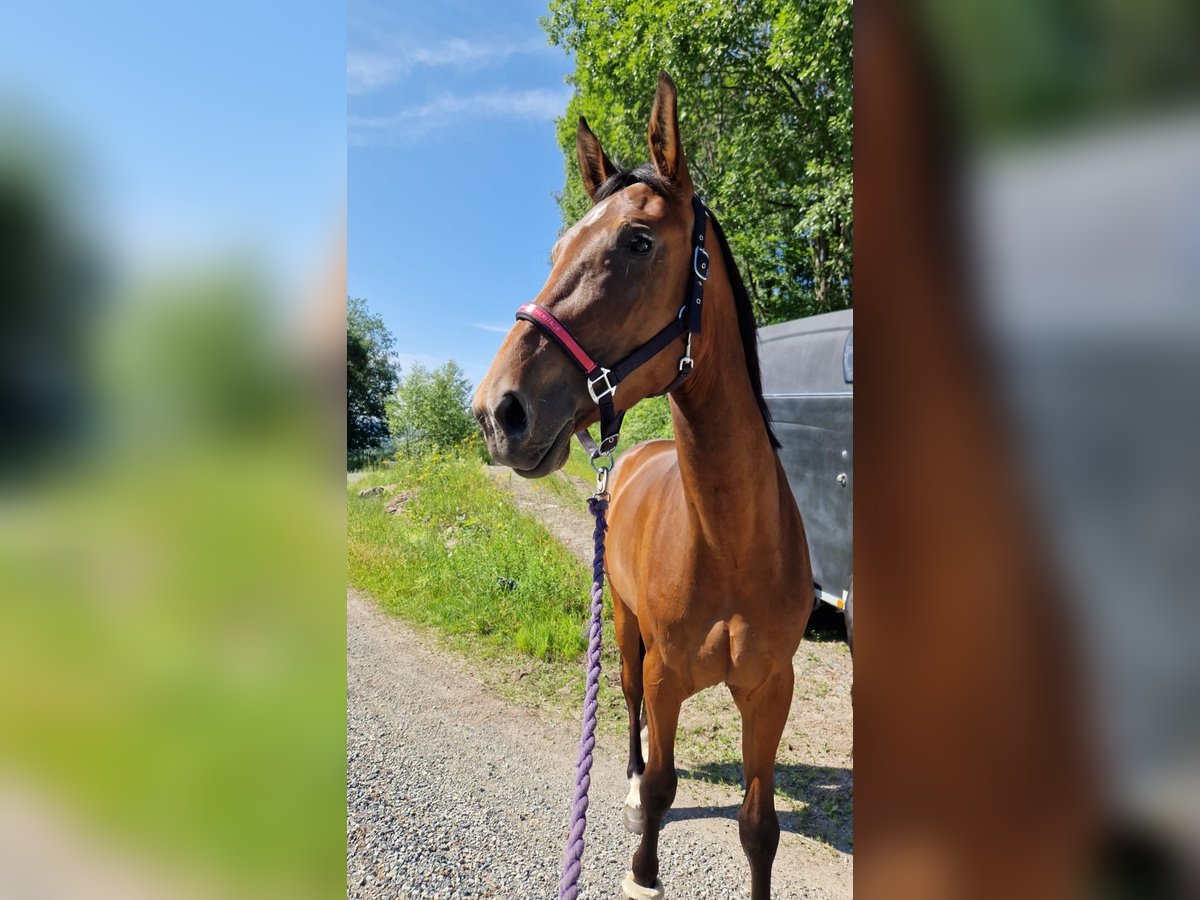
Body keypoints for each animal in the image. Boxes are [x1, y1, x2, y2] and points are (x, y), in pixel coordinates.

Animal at [472, 72, 811, 900]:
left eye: (638, 241)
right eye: (557, 249)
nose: (499, 411)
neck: (732, 544)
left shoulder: (771, 689)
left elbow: (760, 829)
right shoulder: (665, 676)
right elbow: (659, 794)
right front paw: (639, 845)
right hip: (624, 631)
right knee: (625, 712)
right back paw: (622, 776)